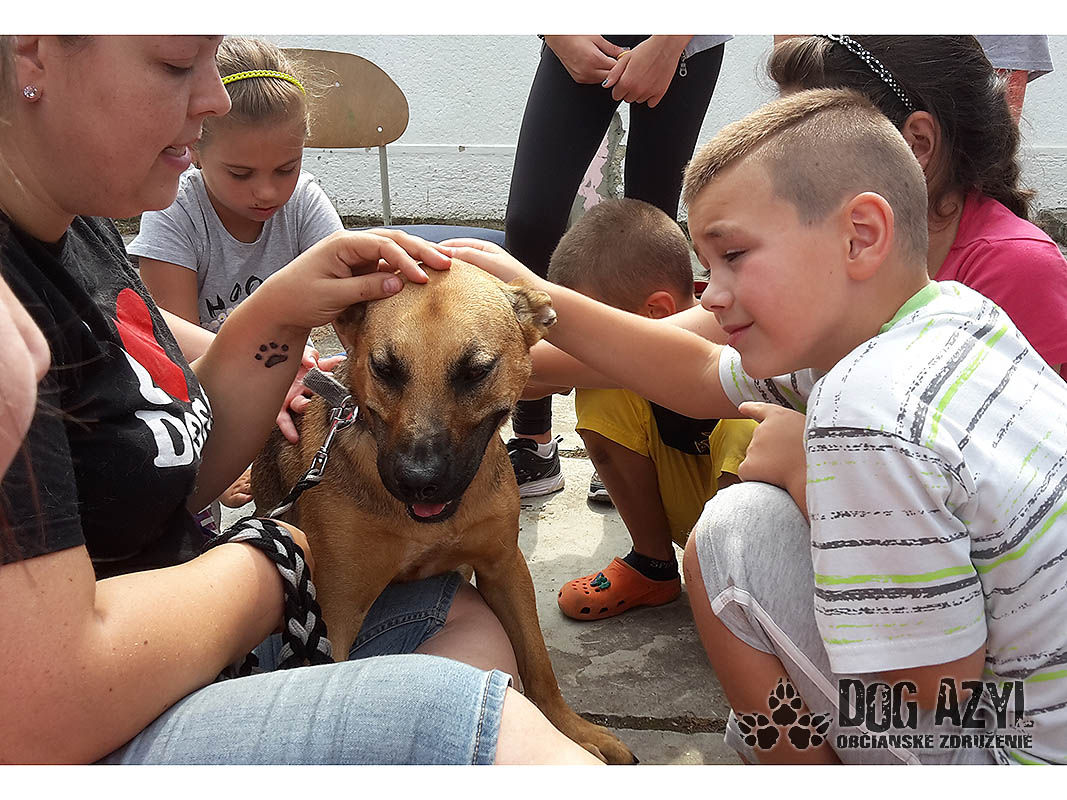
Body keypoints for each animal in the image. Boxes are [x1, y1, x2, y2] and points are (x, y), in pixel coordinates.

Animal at [251, 259, 634, 764]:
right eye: (385, 368)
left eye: (475, 371)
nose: (418, 480)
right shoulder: (336, 608)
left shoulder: (504, 567)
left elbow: (538, 661)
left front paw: (572, 728)